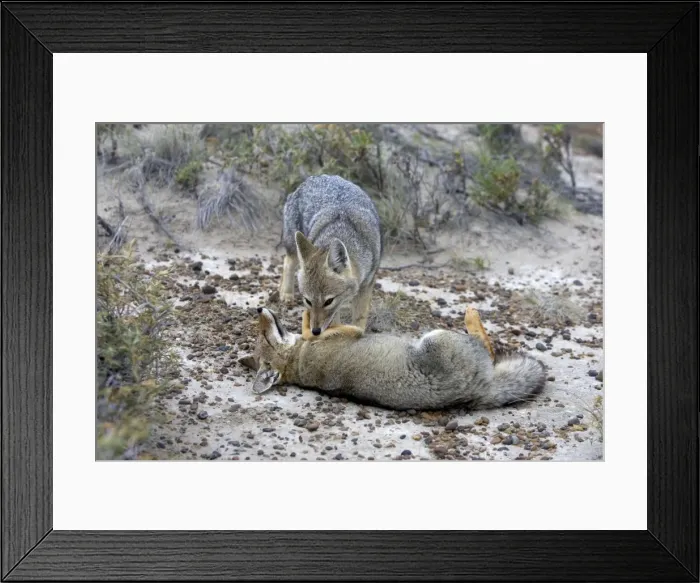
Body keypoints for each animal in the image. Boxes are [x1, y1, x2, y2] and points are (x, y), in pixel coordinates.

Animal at [243, 306, 547, 412]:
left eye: (263, 335)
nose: (258, 308)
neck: (298, 362)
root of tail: (480, 391)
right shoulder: (349, 330)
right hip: (436, 337)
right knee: (487, 345)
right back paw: (472, 317)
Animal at [278, 174, 382, 338]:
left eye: (328, 301)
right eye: (308, 301)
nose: (315, 331)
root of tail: (312, 178)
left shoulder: (366, 285)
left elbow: (359, 318)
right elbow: (335, 321)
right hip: (293, 246)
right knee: (288, 262)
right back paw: (287, 293)